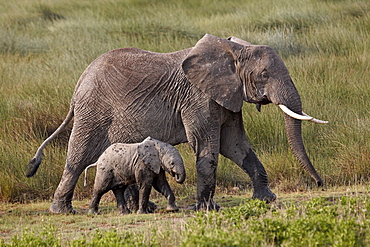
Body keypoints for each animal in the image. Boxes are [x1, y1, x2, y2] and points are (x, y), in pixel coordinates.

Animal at [26, 33, 326, 213]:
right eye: (264, 74)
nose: (320, 184)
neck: (233, 49)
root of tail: (77, 86)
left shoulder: (226, 96)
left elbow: (236, 146)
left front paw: (266, 199)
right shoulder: (198, 98)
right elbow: (207, 146)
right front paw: (205, 209)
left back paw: (142, 208)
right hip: (93, 112)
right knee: (78, 157)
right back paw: (63, 210)